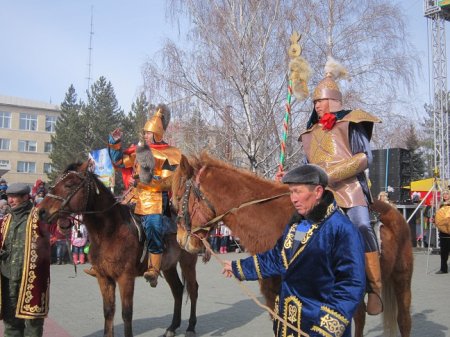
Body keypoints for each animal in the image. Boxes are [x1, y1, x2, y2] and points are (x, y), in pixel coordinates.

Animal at [37, 160, 200, 336]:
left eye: (69, 184)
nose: (41, 211)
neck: (109, 232)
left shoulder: (125, 277)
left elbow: (126, 313)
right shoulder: (104, 277)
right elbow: (108, 311)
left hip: (188, 262)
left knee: (193, 289)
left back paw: (191, 327)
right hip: (169, 266)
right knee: (178, 290)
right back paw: (172, 327)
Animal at [174, 153, 414, 336]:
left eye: (178, 198)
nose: (180, 240)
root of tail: (395, 212)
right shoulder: (273, 294)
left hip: (401, 279)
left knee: (403, 320)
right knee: (360, 317)